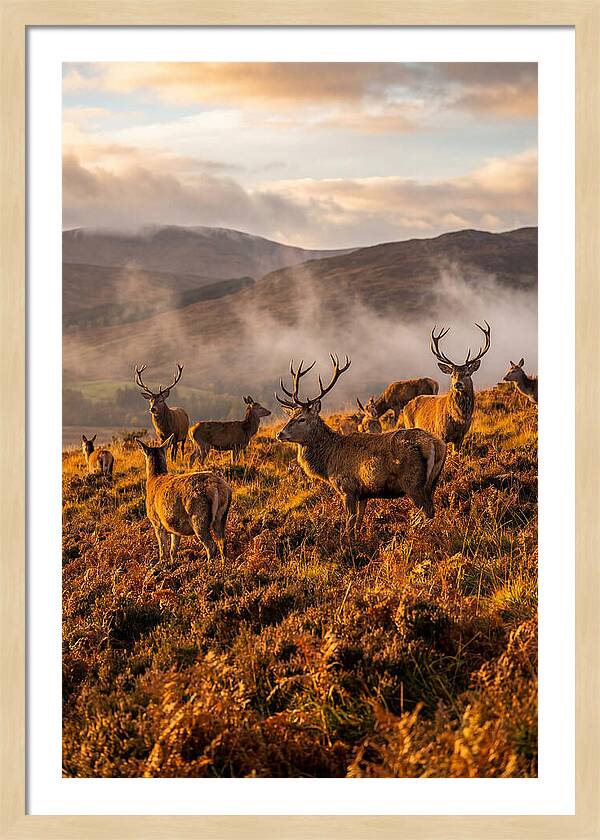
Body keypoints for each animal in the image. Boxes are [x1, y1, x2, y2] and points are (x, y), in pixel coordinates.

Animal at [135, 435, 232, 565]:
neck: (154, 479)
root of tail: (218, 487)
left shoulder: (157, 522)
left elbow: (163, 550)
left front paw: (162, 563)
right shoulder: (174, 526)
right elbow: (173, 550)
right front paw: (172, 563)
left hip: (199, 517)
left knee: (211, 545)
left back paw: (208, 566)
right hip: (222, 516)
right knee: (222, 542)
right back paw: (223, 565)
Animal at [275, 355, 447, 537]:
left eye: (302, 419)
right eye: (290, 417)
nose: (280, 434)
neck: (328, 462)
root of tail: (436, 444)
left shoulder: (347, 488)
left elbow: (349, 523)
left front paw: (347, 541)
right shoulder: (363, 493)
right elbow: (359, 521)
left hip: (413, 483)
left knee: (428, 511)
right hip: (433, 480)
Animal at [402, 322, 491, 452]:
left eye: (467, 374)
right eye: (452, 375)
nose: (457, 384)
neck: (459, 419)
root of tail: (405, 407)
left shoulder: (461, 437)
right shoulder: (440, 433)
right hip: (409, 426)